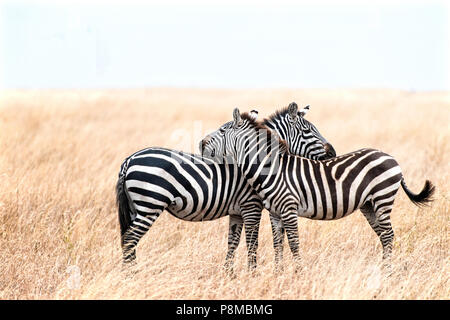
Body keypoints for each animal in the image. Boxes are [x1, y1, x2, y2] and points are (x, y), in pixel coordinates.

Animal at [116, 103, 334, 272]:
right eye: (308, 131)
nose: (332, 153)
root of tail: (130, 159)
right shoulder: (251, 205)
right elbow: (252, 243)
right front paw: (252, 275)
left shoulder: (237, 211)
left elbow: (234, 243)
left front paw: (229, 275)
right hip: (150, 204)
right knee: (130, 239)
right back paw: (131, 277)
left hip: (136, 207)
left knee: (127, 240)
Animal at [201, 108, 436, 270]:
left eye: (222, 130)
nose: (201, 145)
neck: (271, 168)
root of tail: (390, 157)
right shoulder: (275, 213)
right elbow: (278, 244)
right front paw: (278, 274)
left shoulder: (288, 208)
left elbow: (293, 243)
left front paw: (298, 273)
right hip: (369, 204)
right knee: (384, 235)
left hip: (382, 197)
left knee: (388, 235)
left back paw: (387, 272)